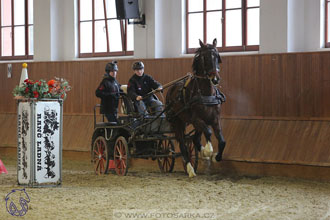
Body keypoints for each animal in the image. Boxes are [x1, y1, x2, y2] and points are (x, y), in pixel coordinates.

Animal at [166, 39, 226, 177]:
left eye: (216, 56)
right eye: (204, 57)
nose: (215, 79)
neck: (206, 93)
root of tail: (171, 89)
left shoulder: (215, 119)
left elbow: (222, 141)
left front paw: (215, 157)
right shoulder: (196, 119)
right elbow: (208, 133)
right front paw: (208, 151)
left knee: (194, 138)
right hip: (177, 121)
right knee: (182, 144)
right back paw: (190, 169)